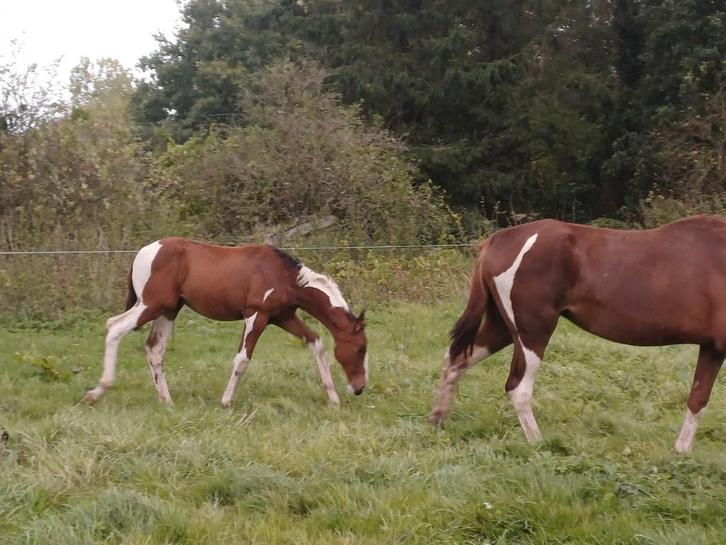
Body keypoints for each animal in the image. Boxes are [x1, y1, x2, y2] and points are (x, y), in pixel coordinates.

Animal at [83, 238, 368, 407]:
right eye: (360, 349)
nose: (359, 388)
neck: (286, 277)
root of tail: (143, 252)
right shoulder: (256, 316)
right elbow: (242, 359)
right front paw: (226, 401)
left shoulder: (283, 317)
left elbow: (315, 342)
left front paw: (333, 398)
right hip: (151, 305)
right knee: (114, 327)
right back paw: (98, 391)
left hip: (168, 310)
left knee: (154, 349)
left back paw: (167, 401)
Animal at [431, 215, 726, 453]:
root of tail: (498, 240)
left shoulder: (712, 349)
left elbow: (698, 399)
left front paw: (681, 452)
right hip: (532, 332)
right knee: (518, 387)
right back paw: (539, 443)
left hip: (502, 328)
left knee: (456, 361)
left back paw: (438, 420)